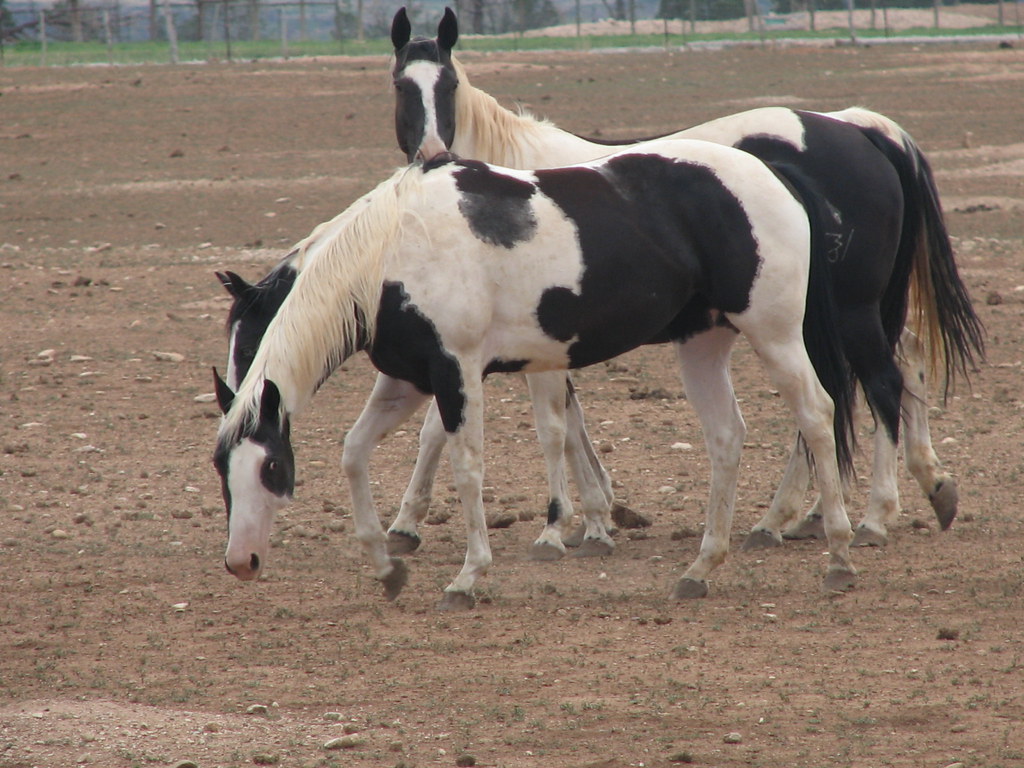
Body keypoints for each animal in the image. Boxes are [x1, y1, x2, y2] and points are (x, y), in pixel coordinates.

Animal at [213, 140, 861, 609]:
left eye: (271, 469)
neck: (395, 248)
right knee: (726, 436)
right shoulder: (408, 381)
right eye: (223, 469)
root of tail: (771, 172)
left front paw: (468, 577)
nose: (241, 562)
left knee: (817, 415)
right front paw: (387, 565)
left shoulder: (457, 373)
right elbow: (353, 453)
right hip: (703, 343)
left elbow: (467, 469)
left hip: (775, 335)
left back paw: (839, 556)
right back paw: (700, 569)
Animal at [388, 6, 984, 553]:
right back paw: (844, 505)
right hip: (841, 317)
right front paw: (599, 515)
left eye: (448, 84)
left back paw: (868, 514)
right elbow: (559, 422)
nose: (432, 156)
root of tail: (860, 129)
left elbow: (485, 425)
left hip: (843, 314)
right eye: (400, 84)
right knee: (881, 374)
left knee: (875, 386)